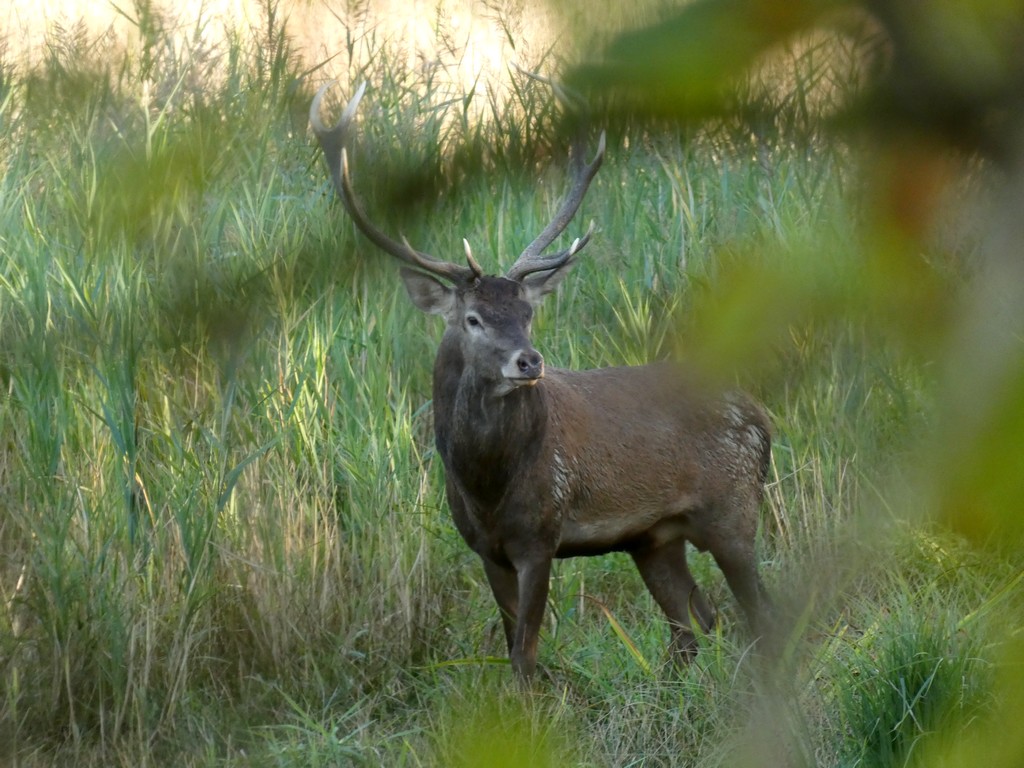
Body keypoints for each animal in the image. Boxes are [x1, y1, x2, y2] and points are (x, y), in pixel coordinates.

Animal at [310, 81, 775, 681]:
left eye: (527, 311)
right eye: (473, 319)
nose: (529, 362)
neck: (486, 485)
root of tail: (763, 418)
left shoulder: (540, 534)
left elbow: (525, 657)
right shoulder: (485, 548)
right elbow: (513, 644)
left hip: (733, 507)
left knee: (761, 613)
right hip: (655, 537)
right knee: (694, 625)